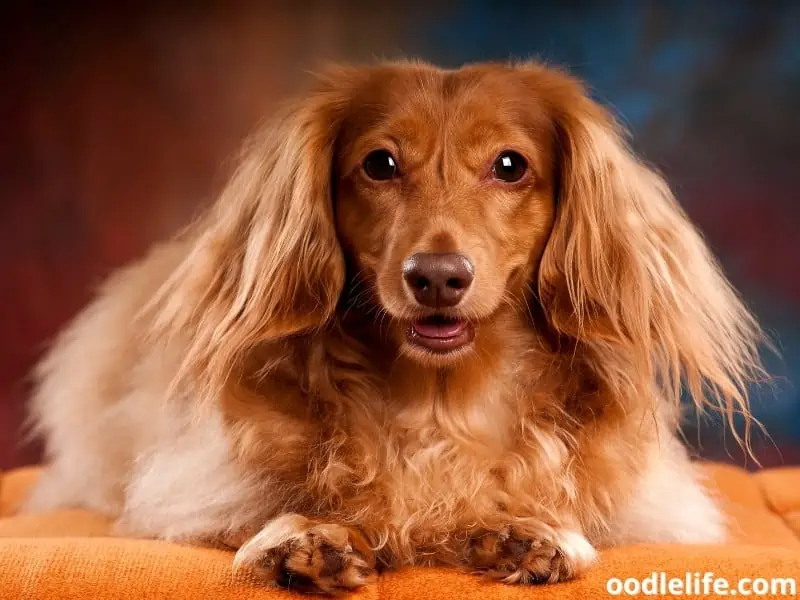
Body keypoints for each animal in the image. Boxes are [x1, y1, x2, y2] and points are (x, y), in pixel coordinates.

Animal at [23, 61, 764, 592]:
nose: (436, 277)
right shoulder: (188, 484)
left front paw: (532, 530)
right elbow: (258, 510)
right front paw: (300, 537)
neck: (441, 403)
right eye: (379, 163)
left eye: (510, 165)